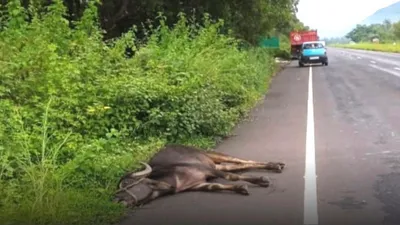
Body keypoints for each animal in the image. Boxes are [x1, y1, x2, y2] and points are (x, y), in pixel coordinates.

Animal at [114, 143, 286, 207]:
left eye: (128, 184)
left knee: (242, 161)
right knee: (238, 166)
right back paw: (275, 165)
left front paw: (260, 180)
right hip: (218, 164)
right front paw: (240, 188)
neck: (173, 178)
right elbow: (215, 185)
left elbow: (230, 177)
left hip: (214, 157)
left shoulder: (207, 170)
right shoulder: (198, 184)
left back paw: (275, 165)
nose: (117, 199)